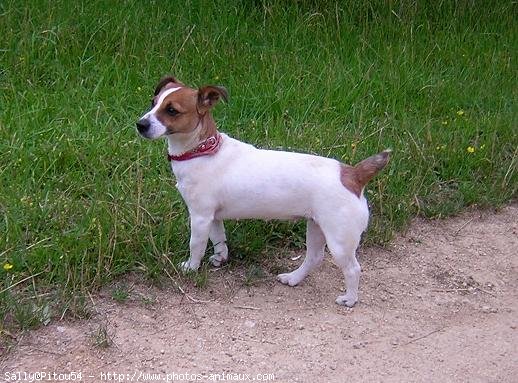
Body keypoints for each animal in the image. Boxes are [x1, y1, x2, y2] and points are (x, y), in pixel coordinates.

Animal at [136, 76, 392, 308]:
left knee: (353, 269)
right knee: (314, 257)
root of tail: (353, 175)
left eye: (172, 110)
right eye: (153, 102)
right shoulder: (213, 218)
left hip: (339, 239)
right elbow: (219, 239)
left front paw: (191, 267)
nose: (140, 124)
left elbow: (196, 245)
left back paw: (350, 298)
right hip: (316, 226)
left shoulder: (199, 217)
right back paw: (293, 278)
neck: (202, 150)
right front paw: (220, 258)